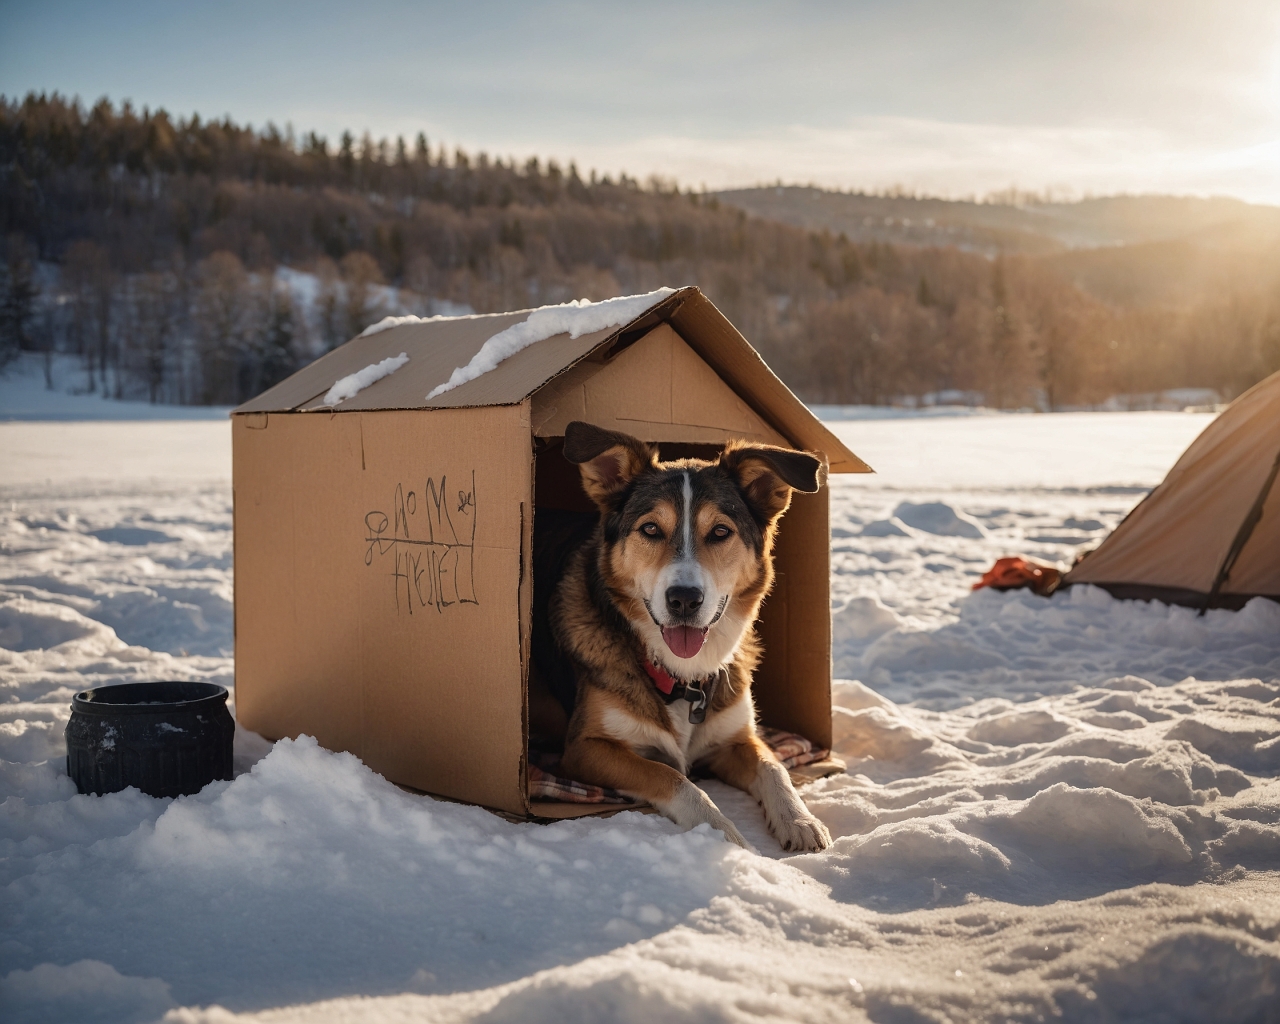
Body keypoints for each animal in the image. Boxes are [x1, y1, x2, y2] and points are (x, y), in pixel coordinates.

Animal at [545, 419, 834, 849]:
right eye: (650, 528)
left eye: (720, 531)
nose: (684, 599)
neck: (683, 678)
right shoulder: (584, 749)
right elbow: (671, 775)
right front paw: (722, 834)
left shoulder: (735, 738)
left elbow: (774, 768)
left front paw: (800, 820)